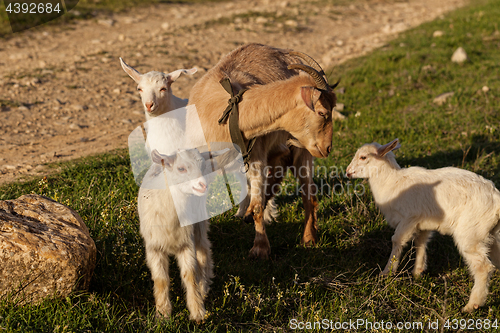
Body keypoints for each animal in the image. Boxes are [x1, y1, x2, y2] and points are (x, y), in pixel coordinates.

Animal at [138, 147, 226, 320]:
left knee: (204, 249)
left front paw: (197, 311)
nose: (203, 185)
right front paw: (163, 313)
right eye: (181, 168)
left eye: (203, 166)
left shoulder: (187, 243)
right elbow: (161, 279)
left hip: (199, 223)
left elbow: (190, 274)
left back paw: (204, 285)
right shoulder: (154, 247)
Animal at [187, 43, 336, 256]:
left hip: (303, 150)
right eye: (322, 112)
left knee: (308, 193)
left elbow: (258, 203)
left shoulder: (257, 155)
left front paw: (260, 248)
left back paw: (308, 238)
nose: (327, 147)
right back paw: (245, 212)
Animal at [348, 137, 500, 312]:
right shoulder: (422, 222)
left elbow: (397, 240)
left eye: (363, 157)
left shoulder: (409, 218)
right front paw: (417, 272)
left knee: (483, 267)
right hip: (490, 233)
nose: (348, 172)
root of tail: (496, 199)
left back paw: (471, 305)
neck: (392, 182)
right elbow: (420, 242)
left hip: (471, 232)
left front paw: (387, 272)